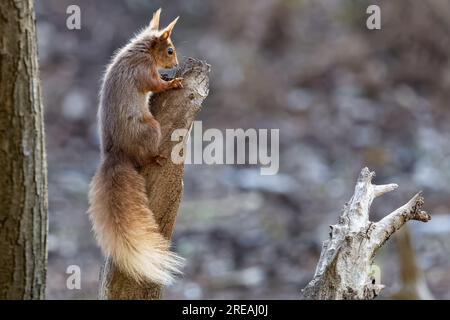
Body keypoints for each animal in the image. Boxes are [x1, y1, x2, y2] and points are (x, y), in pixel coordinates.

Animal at [89, 8, 184, 284]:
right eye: (170, 50)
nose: (175, 65)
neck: (143, 51)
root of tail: (116, 154)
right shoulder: (142, 70)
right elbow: (154, 85)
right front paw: (172, 83)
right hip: (151, 129)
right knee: (143, 157)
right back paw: (155, 158)